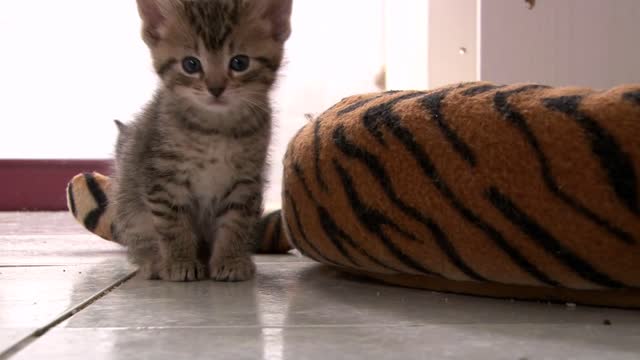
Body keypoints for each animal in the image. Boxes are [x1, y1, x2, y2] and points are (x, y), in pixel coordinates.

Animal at [114, 0, 294, 282]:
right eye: (191, 64)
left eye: (239, 62)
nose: (216, 88)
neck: (215, 129)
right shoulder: (163, 179)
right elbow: (173, 224)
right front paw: (180, 262)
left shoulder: (246, 180)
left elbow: (236, 222)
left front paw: (230, 260)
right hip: (129, 208)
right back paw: (153, 262)